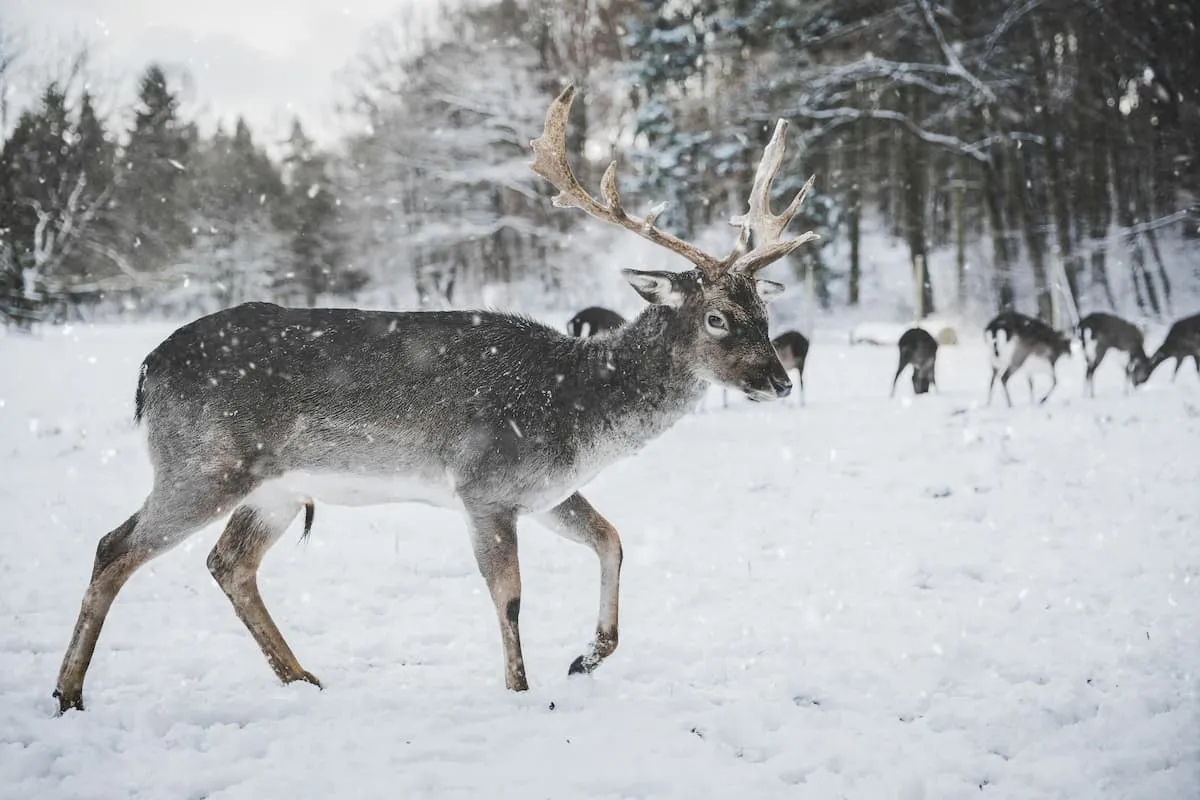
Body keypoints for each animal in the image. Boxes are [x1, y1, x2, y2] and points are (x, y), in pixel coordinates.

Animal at [51, 84, 820, 714]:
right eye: (717, 317)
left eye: (762, 309)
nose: (779, 381)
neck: (579, 412)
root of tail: (148, 369)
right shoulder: (485, 484)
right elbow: (509, 596)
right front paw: (521, 691)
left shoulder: (545, 491)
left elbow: (612, 539)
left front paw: (586, 657)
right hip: (203, 462)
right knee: (114, 546)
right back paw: (69, 693)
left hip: (273, 488)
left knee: (228, 563)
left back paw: (302, 678)